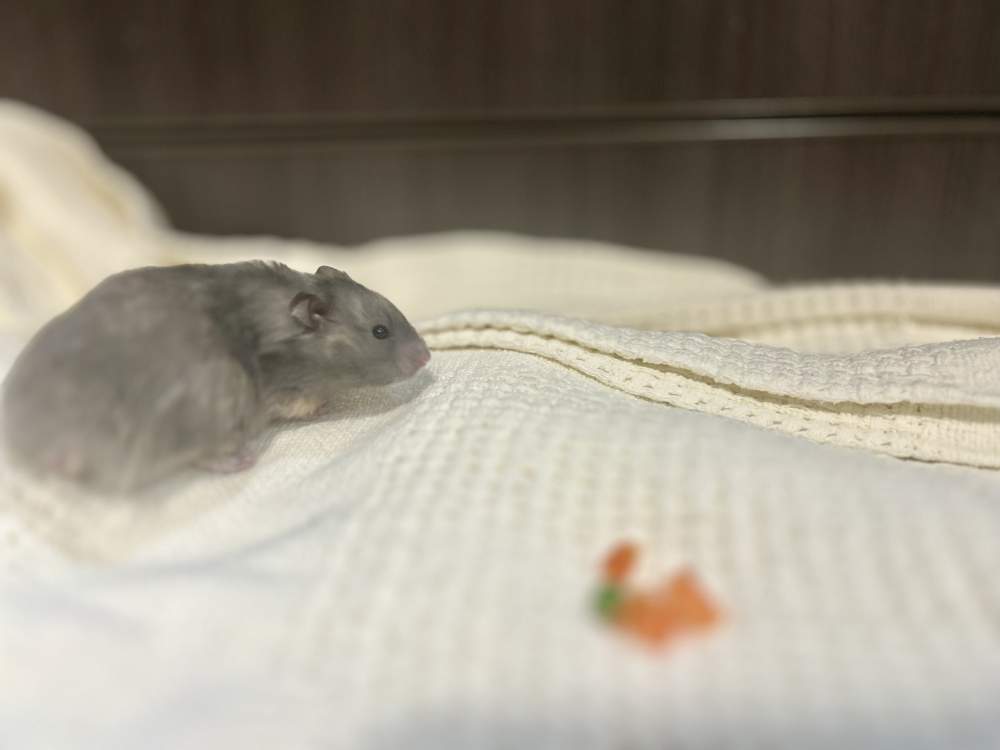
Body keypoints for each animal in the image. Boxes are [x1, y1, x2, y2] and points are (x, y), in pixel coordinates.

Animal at [2, 261, 430, 493]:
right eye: (379, 332)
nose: (427, 356)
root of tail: (31, 436)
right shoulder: (282, 391)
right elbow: (304, 403)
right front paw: (323, 405)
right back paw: (241, 460)